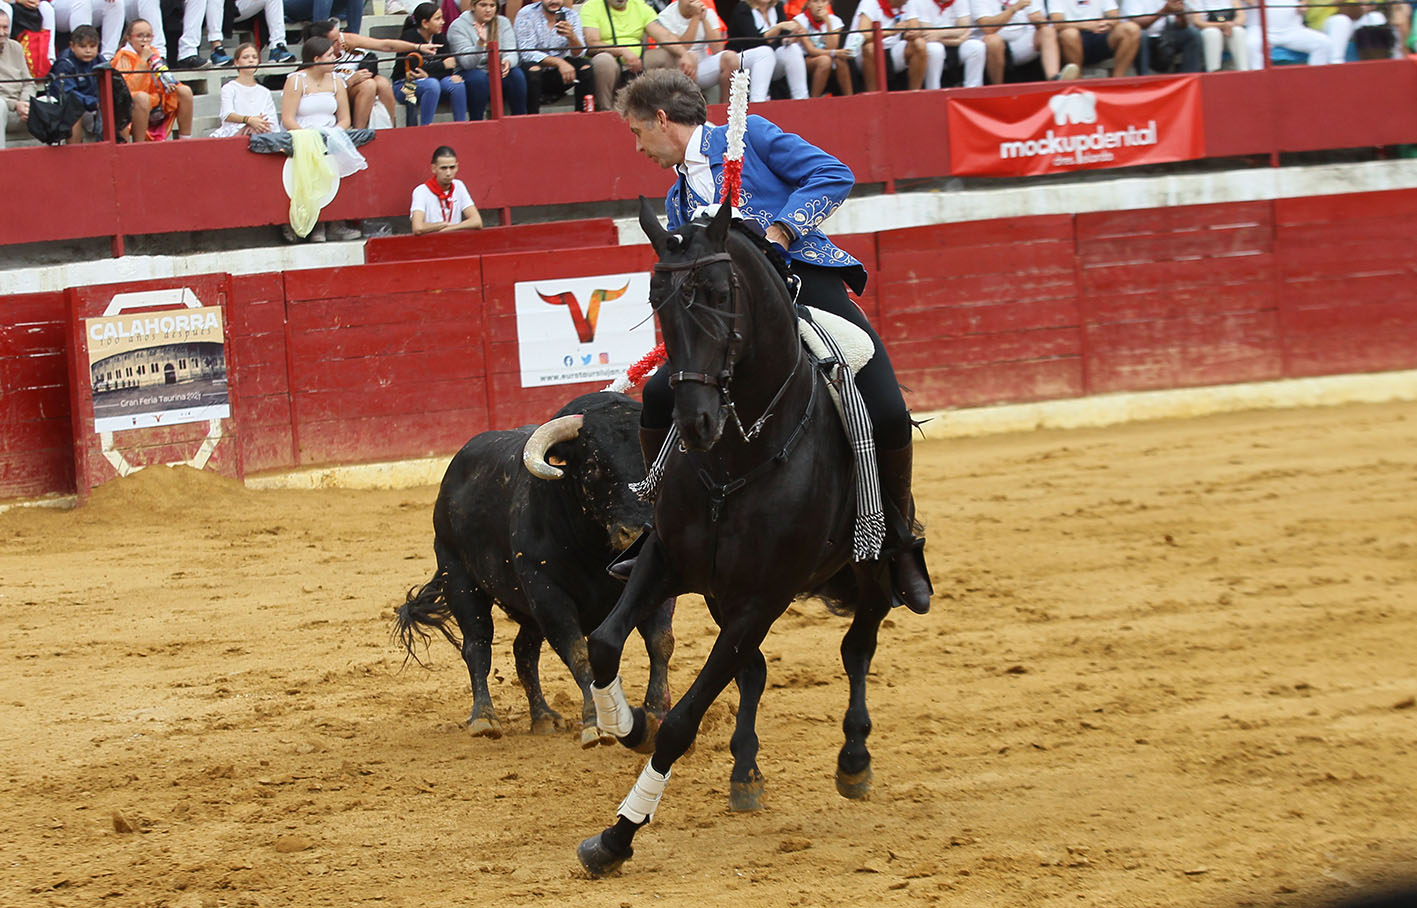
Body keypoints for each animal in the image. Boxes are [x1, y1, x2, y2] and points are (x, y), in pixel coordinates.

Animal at [395, 392, 674, 749]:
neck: (596, 551)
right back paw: (484, 718)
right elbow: (579, 654)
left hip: (526, 611)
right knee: (477, 646)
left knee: (523, 652)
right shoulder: (548, 595)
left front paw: (656, 714)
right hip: (459, 578)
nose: (638, 531)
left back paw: (542, 717)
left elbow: (660, 642)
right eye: (592, 466)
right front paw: (594, 724)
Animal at [575, 199, 905, 876]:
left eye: (722, 294)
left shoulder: (764, 595)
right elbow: (603, 642)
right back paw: (745, 771)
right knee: (753, 670)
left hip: (869, 567)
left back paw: (853, 759)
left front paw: (617, 836)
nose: (696, 420)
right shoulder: (668, 560)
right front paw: (629, 725)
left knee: (858, 645)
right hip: (718, 592)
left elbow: (683, 720)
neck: (736, 454)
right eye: (656, 299)